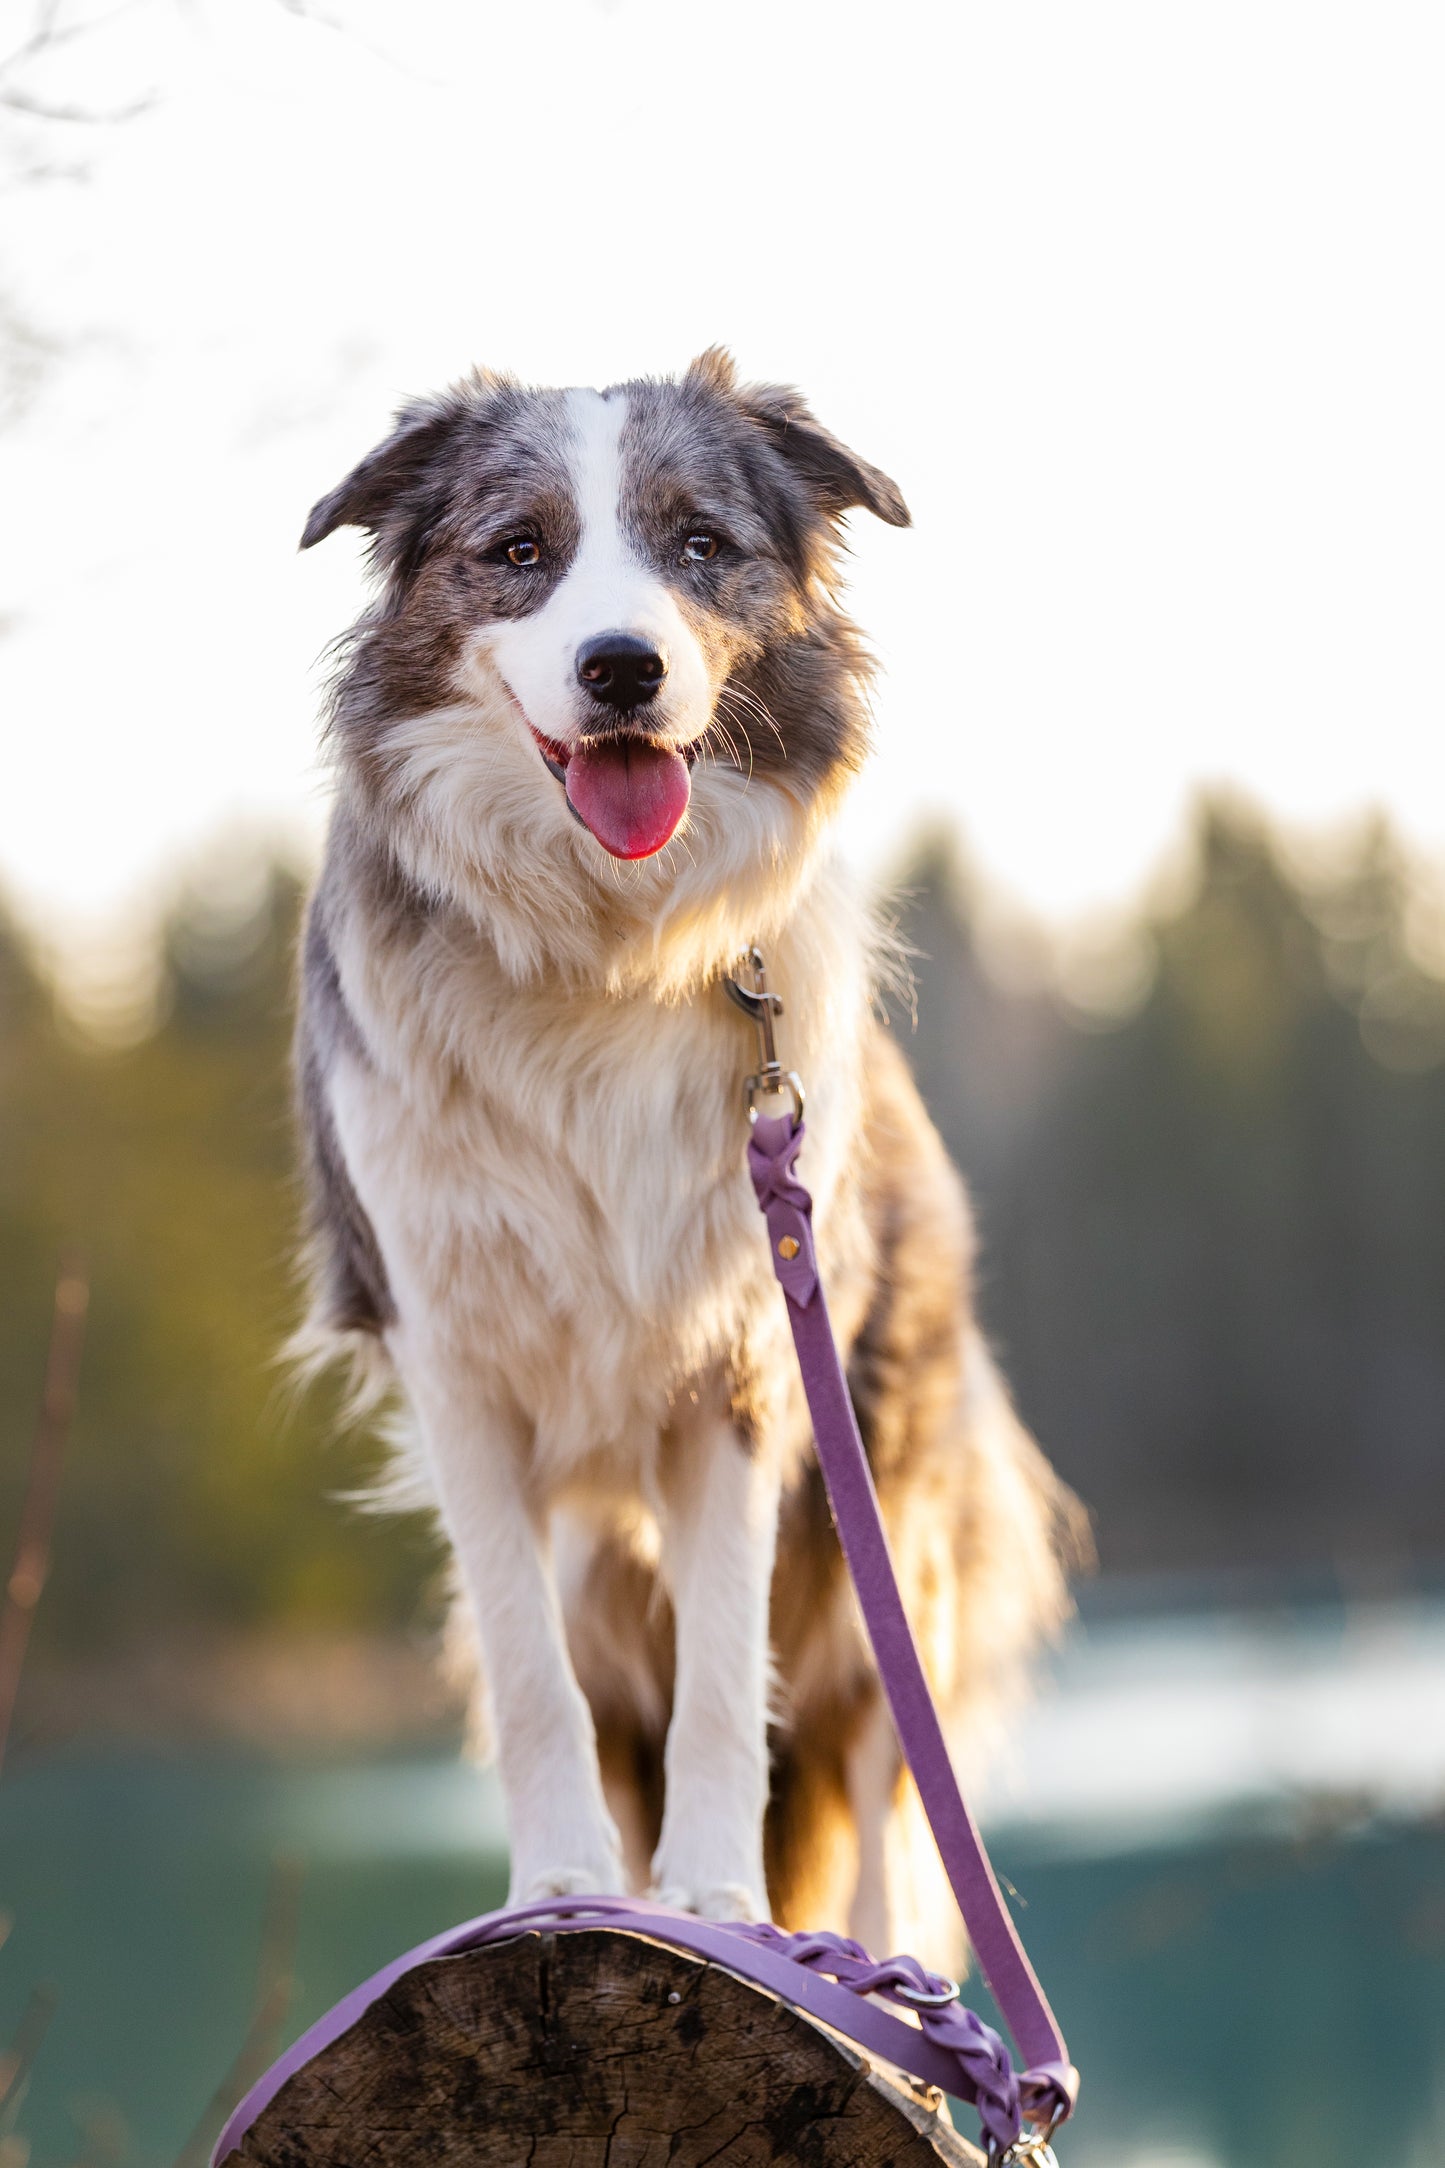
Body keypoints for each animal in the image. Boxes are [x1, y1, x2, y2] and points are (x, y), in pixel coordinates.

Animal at [294, 346, 1078, 1959]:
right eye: (518, 550)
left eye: (699, 544)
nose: (621, 669)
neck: (599, 952)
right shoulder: (451, 1361)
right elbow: (530, 1678)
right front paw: (562, 1890)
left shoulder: (745, 1359)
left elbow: (727, 1674)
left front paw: (716, 1900)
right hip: (610, 1575)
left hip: (878, 1527)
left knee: (882, 1770)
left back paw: (879, 1969)